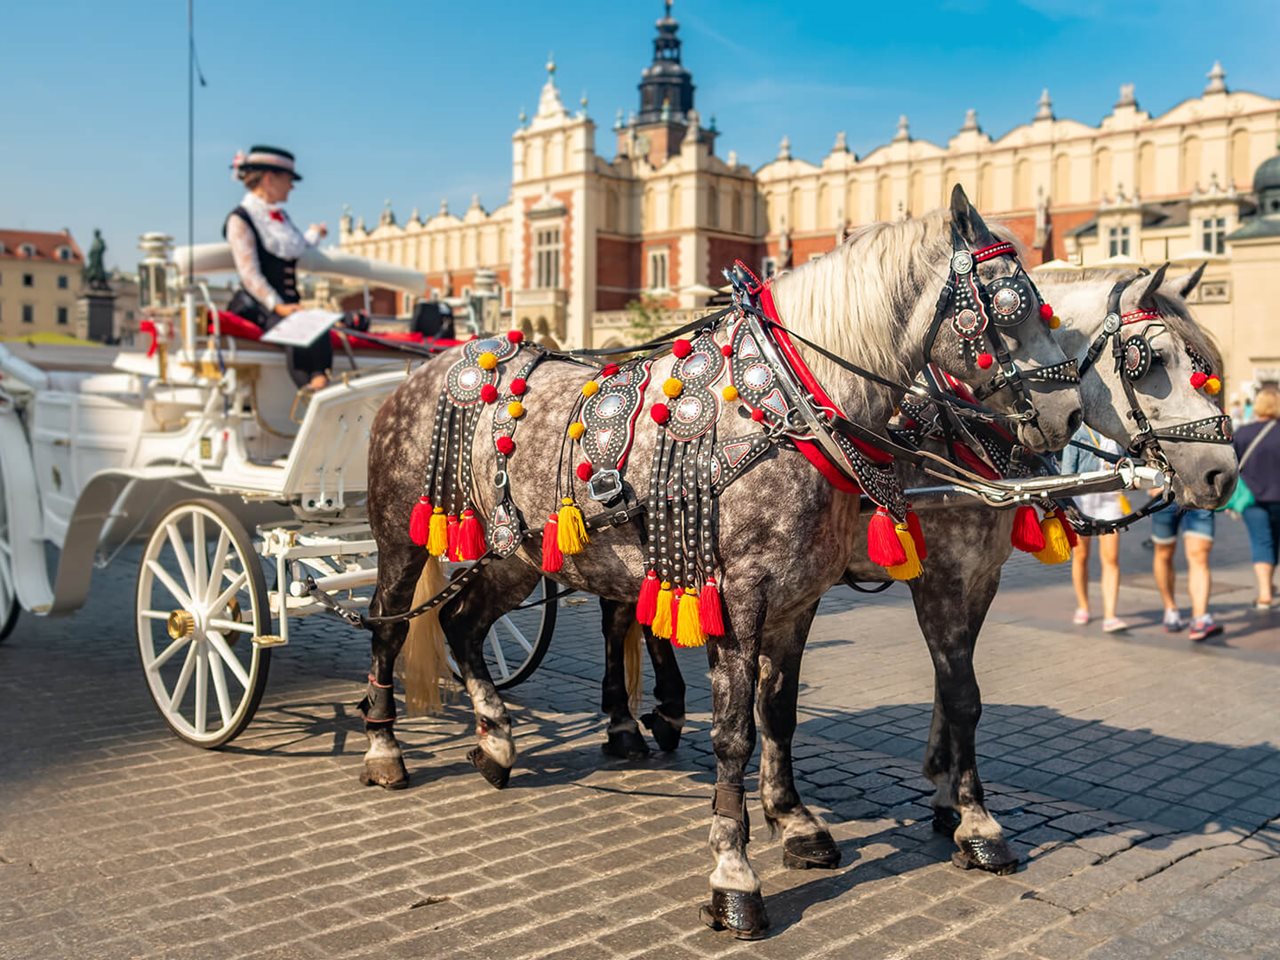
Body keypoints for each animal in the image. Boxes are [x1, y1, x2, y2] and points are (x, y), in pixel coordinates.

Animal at [360, 185, 1080, 942]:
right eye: (1010, 303)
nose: (1068, 414)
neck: (789, 406)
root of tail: (426, 369)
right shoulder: (746, 594)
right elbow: (736, 733)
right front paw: (735, 877)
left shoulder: (801, 596)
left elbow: (780, 712)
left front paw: (797, 822)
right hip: (402, 537)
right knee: (388, 624)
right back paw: (386, 751)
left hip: (516, 553)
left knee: (464, 626)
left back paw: (497, 742)